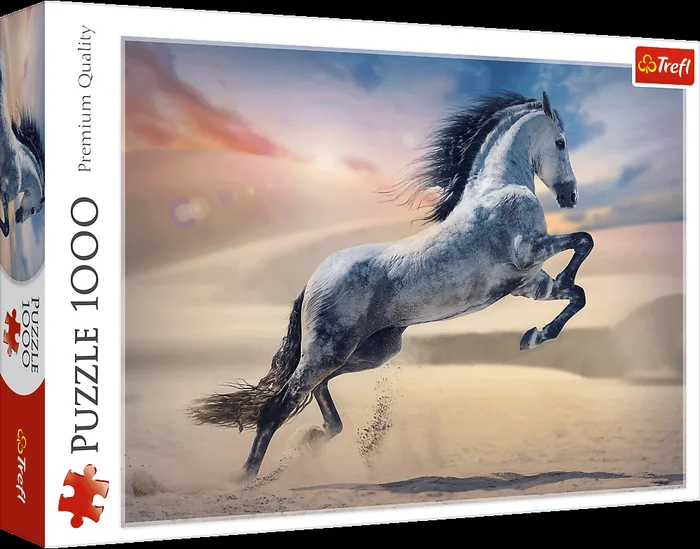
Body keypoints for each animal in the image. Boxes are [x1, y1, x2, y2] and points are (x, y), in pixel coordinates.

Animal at [186, 90, 594, 481]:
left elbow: (577, 294)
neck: (498, 190)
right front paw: (543, 321)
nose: (570, 196)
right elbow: (584, 241)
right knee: (279, 405)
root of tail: (313, 280)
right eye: (560, 142)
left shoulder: (528, 282)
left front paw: (534, 336)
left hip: (369, 351)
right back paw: (248, 478)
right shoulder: (528, 252)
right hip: (329, 349)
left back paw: (316, 436)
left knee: (318, 389)